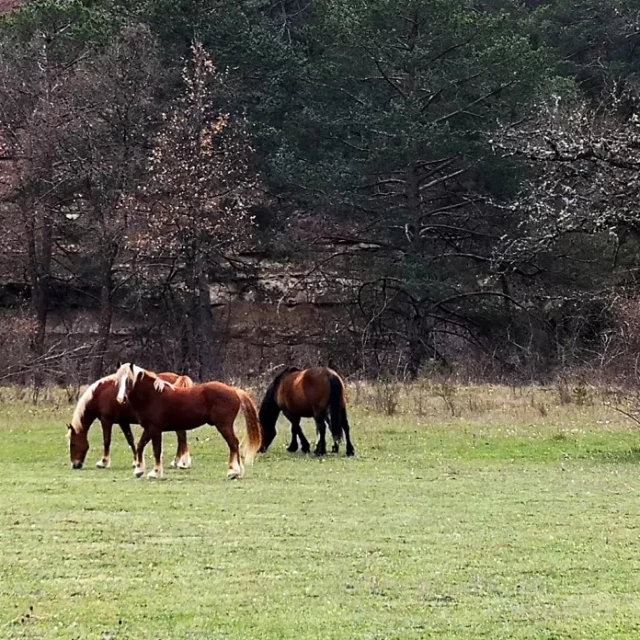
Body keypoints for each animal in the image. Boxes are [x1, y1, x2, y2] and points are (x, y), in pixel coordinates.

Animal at [67, 370, 195, 470]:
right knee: (181, 438)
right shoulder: (123, 422)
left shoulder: (106, 420)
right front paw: (136, 462)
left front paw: (103, 462)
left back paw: (182, 463)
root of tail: (179, 377)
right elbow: (130, 440)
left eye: (72, 444)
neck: (100, 393)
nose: (75, 465)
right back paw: (177, 462)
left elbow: (107, 441)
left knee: (182, 438)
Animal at [114, 362, 262, 478]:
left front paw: (155, 473)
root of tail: (234, 391)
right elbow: (140, 445)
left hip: (224, 426)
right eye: (118, 381)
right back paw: (238, 472)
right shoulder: (149, 428)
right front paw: (139, 471)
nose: (121, 399)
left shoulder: (155, 429)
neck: (153, 396)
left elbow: (157, 450)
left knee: (234, 444)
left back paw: (233, 472)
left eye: (129, 381)